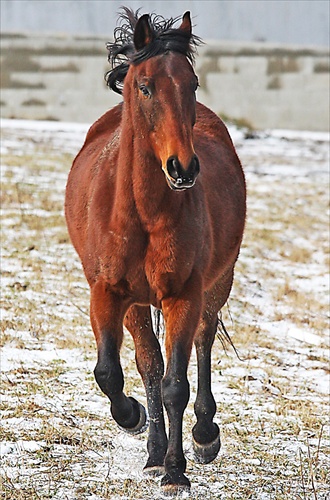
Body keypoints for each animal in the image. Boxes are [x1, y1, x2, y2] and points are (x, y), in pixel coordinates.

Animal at [64, 8, 245, 496]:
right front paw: (134, 420)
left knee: (202, 341)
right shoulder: (107, 293)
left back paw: (204, 435)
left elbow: (175, 385)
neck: (143, 212)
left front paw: (177, 471)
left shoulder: (183, 294)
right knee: (147, 364)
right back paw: (151, 452)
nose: (183, 168)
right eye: (145, 86)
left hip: (215, 285)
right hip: (137, 304)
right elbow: (112, 372)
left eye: (193, 83)